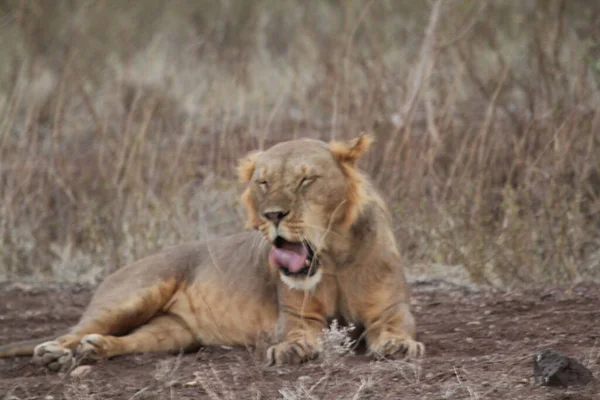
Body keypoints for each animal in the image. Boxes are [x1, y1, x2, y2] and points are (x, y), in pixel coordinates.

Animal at [0, 135, 424, 372]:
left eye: (306, 180)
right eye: (263, 183)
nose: (273, 215)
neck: (332, 260)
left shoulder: (390, 310)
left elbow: (394, 328)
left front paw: (399, 346)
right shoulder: (298, 316)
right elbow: (297, 334)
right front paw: (292, 350)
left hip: (173, 333)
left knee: (126, 340)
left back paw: (94, 350)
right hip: (133, 296)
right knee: (73, 331)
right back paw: (54, 355)